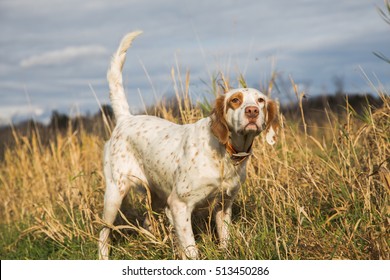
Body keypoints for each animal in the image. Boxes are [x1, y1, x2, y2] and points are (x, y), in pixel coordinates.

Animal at [99, 29, 278, 260]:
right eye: (235, 100)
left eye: (261, 101)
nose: (252, 111)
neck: (224, 151)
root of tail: (125, 119)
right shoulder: (179, 205)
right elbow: (191, 248)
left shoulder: (224, 205)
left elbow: (225, 239)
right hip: (115, 194)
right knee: (103, 232)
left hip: (157, 196)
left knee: (147, 222)